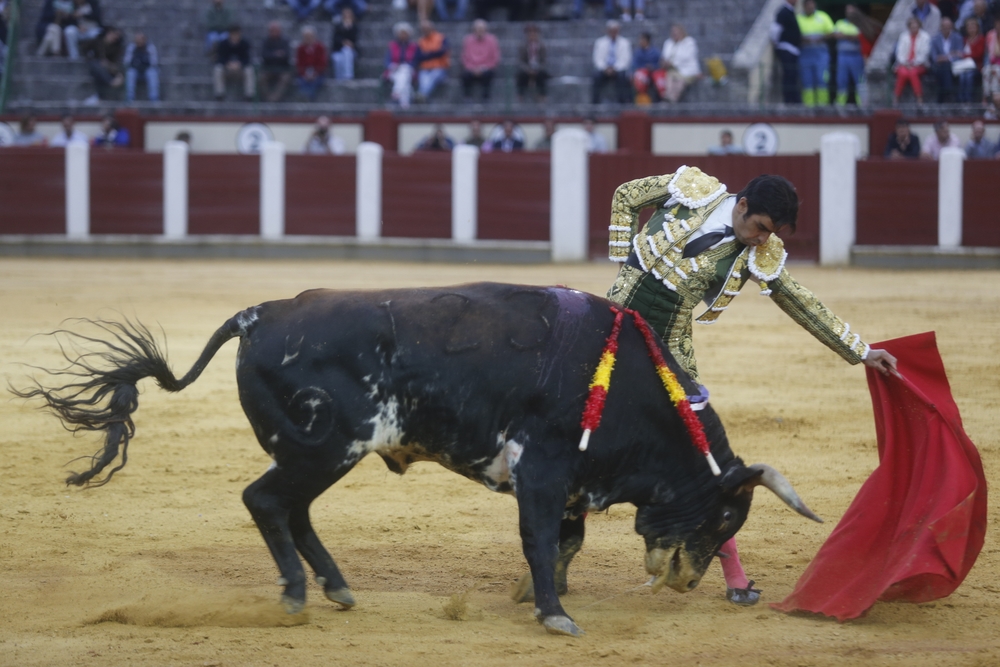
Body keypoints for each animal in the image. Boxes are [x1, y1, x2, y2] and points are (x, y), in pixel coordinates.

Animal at [17, 282, 820, 636]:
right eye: (725, 514)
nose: (688, 582)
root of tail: (260, 312)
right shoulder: (544, 469)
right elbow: (541, 540)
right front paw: (555, 615)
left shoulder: (564, 481)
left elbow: (564, 540)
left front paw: (538, 599)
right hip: (324, 445)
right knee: (267, 501)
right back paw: (297, 595)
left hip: (322, 453)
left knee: (291, 510)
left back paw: (336, 587)